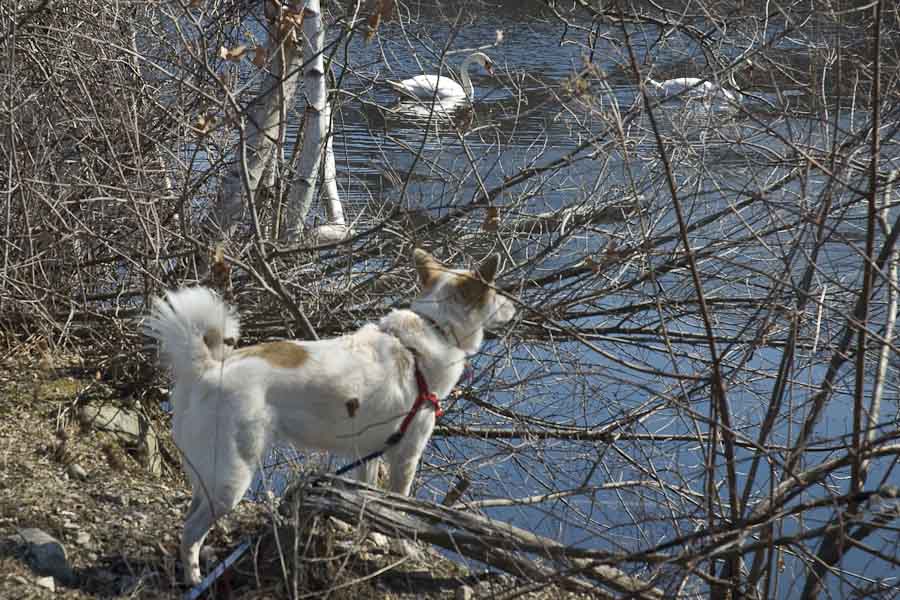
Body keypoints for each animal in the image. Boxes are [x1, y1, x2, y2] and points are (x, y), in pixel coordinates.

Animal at [145, 250, 516, 584]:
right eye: (498, 292)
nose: (514, 307)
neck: (436, 327)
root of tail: (208, 368)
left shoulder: (370, 454)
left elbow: (372, 505)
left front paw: (374, 538)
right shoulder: (406, 456)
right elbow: (399, 506)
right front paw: (403, 548)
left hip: (208, 472)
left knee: (189, 516)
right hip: (230, 479)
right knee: (190, 531)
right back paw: (195, 578)